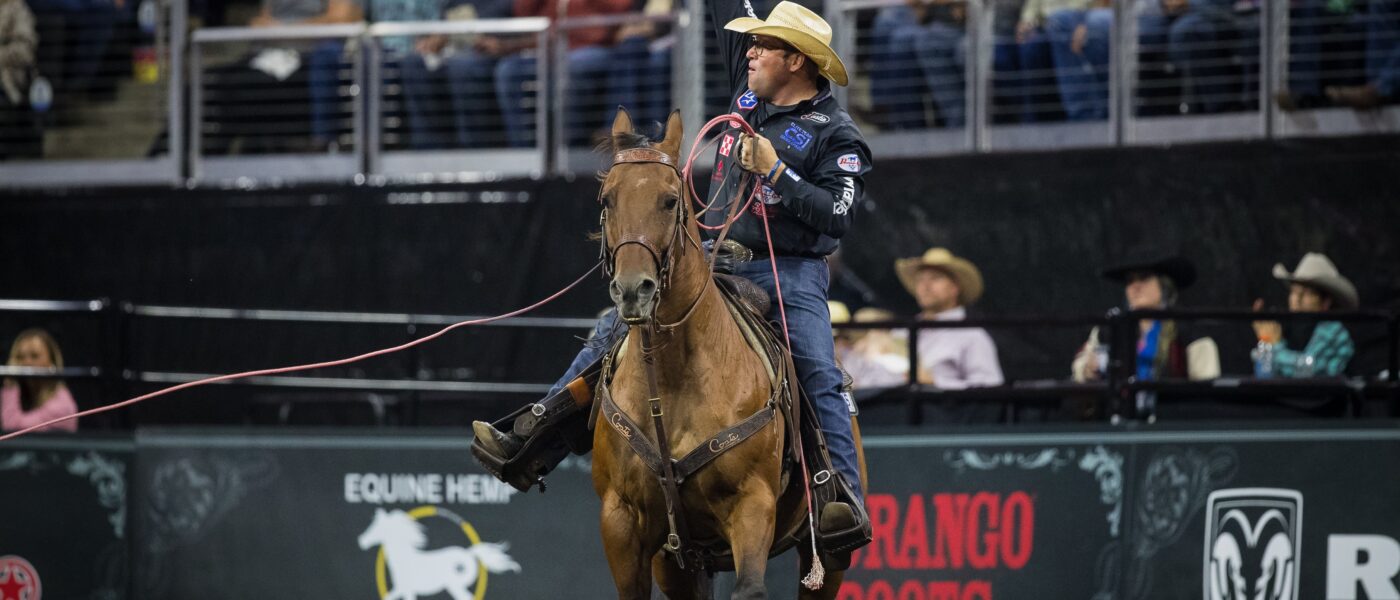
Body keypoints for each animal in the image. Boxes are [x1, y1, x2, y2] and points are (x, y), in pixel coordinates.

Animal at [590, 108, 851, 598]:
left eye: (670, 200)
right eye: (607, 200)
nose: (633, 290)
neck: (670, 378)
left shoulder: (751, 503)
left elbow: (749, 587)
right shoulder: (621, 519)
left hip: (827, 556)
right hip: (677, 562)